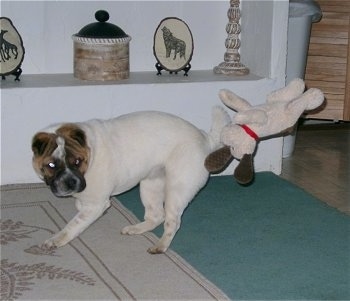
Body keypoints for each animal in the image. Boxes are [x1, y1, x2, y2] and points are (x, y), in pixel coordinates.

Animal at [32, 108, 230, 253]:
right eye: (51, 165)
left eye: (77, 162)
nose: (71, 182)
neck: (90, 153)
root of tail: (205, 138)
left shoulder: (95, 205)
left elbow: (71, 226)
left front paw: (55, 240)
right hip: (150, 186)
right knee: (156, 215)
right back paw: (137, 229)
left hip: (176, 191)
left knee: (172, 222)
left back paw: (160, 246)